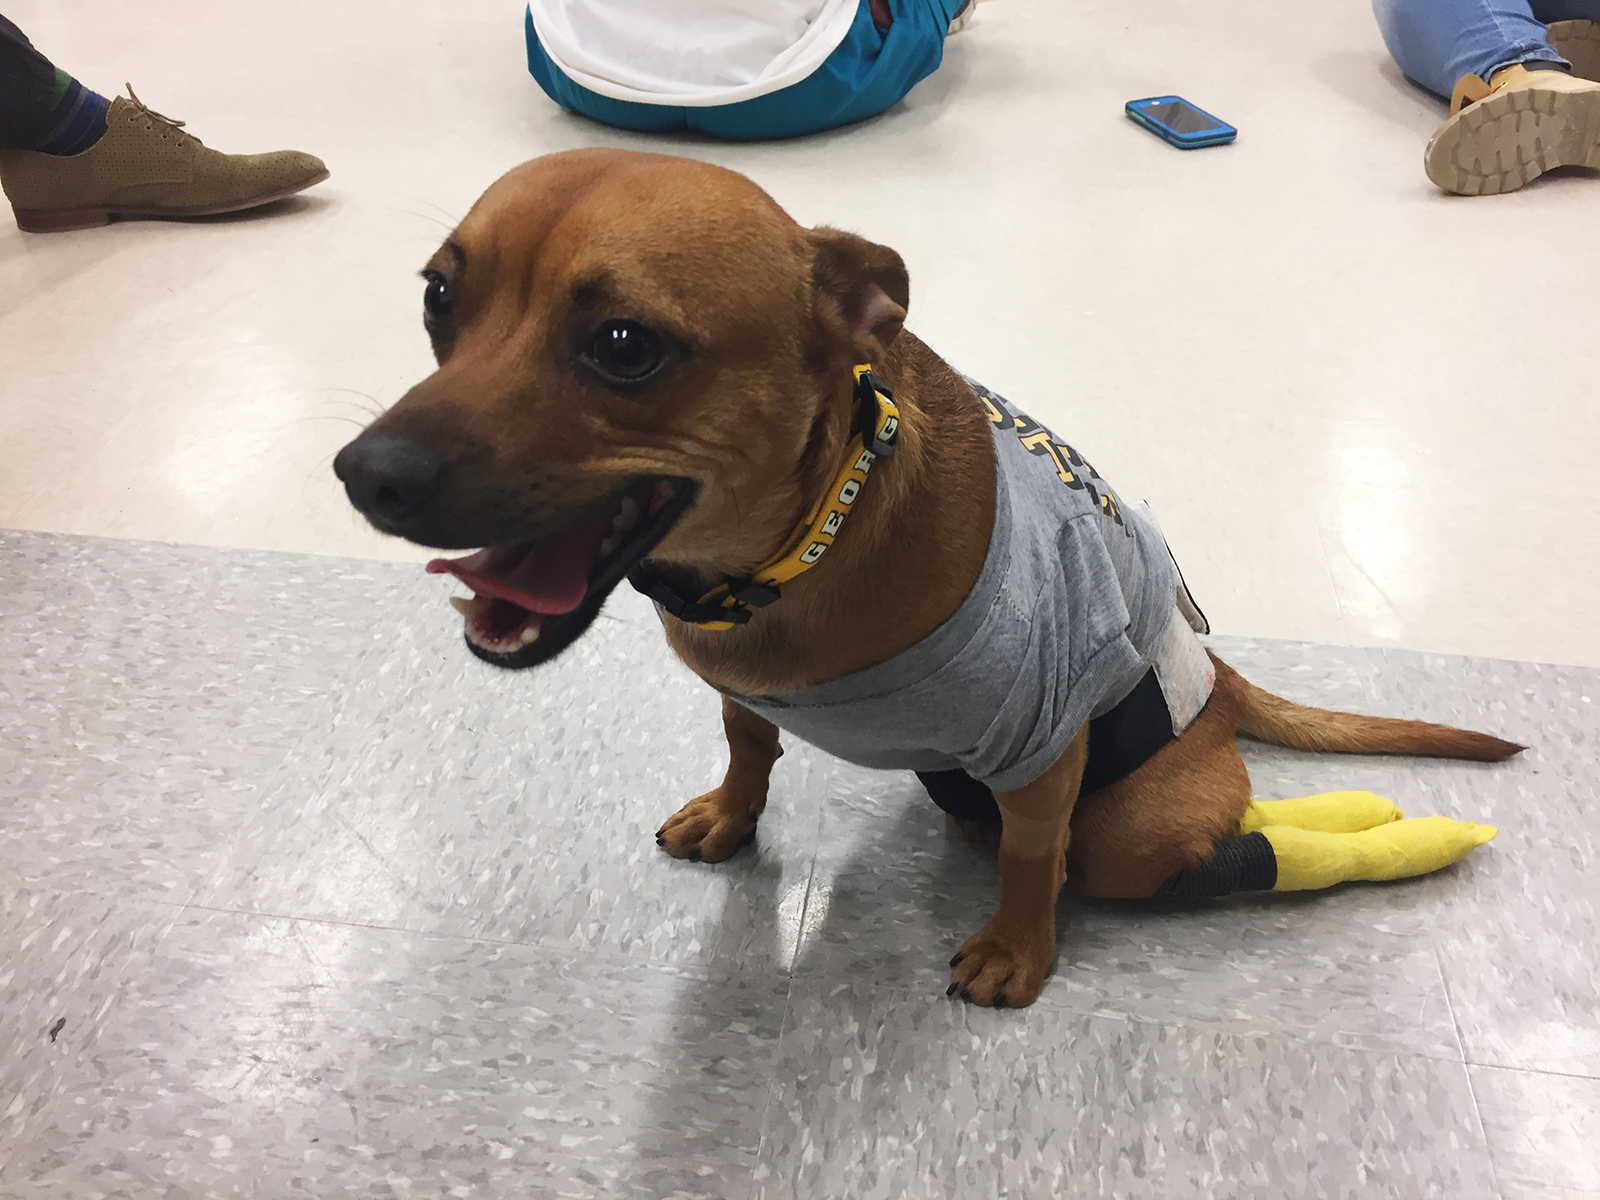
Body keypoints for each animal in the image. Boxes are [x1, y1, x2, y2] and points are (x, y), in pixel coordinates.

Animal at [334, 148, 1521, 1009]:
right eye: (438, 297)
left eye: (624, 345)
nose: (364, 473)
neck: (796, 554)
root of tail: (1220, 683)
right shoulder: (740, 695)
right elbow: (751, 751)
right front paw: (733, 814)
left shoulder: (1042, 749)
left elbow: (1035, 864)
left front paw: (1017, 946)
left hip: (1138, 827)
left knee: (1192, 850)